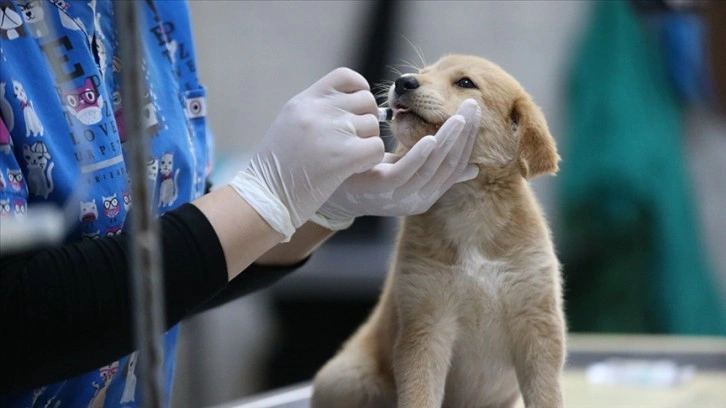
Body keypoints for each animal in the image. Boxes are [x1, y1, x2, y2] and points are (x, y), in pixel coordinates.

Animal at [312, 54, 568, 408]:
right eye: (423, 72)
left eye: (465, 82)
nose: (404, 81)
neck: (469, 206)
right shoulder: (426, 323)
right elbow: (419, 395)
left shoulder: (538, 324)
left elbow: (546, 395)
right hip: (348, 379)